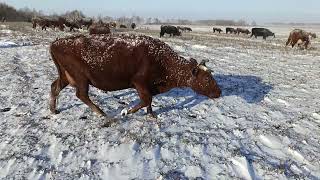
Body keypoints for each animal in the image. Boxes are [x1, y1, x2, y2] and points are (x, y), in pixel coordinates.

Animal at [50, 34, 221, 118]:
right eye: (206, 78)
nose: (219, 92)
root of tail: (56, 42)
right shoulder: (139, 81)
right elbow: (146, 100)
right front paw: (126, 112)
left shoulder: (149, 86)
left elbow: (149, 101)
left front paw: (151, 114)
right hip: (81, 78)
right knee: (81, 94)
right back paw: (102, 113)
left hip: (66, 76)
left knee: (54, 87)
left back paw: (53, 110)